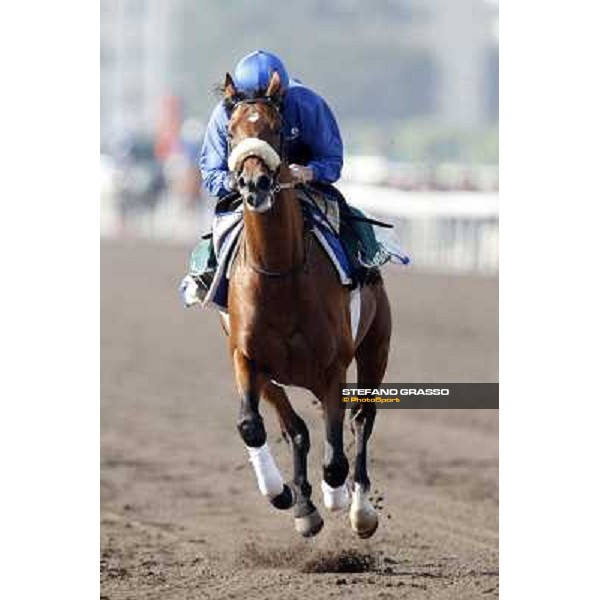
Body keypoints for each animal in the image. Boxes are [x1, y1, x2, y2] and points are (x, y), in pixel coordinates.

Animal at [223, 71, 392, 540]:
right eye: (230, 132)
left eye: (278, 129)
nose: (255, 185)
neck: (280, 274)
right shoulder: (246, 356)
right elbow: (252, 425)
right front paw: (283, 493)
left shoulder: (334, 366)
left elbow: (336, 458)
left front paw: (338, 499)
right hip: (274, 375)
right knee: (295, 428)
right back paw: (301, 502)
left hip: (375, 348)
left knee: (361, 420)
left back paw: (358, 508)